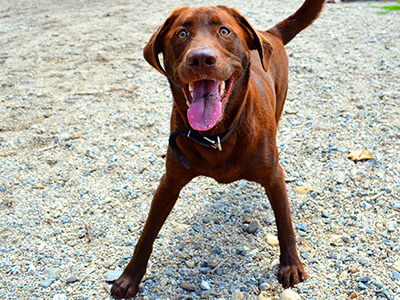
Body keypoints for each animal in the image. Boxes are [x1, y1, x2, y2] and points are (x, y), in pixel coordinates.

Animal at [111, 0, 324, 298]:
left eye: (224, 31)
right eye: (181, 34)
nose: (201, 58)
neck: (217, 135)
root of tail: (269, 33)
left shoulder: (273, 175)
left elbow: (285, 224)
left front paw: (291, 265)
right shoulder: (169, 182)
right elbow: (147, 232)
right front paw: (130, 277)